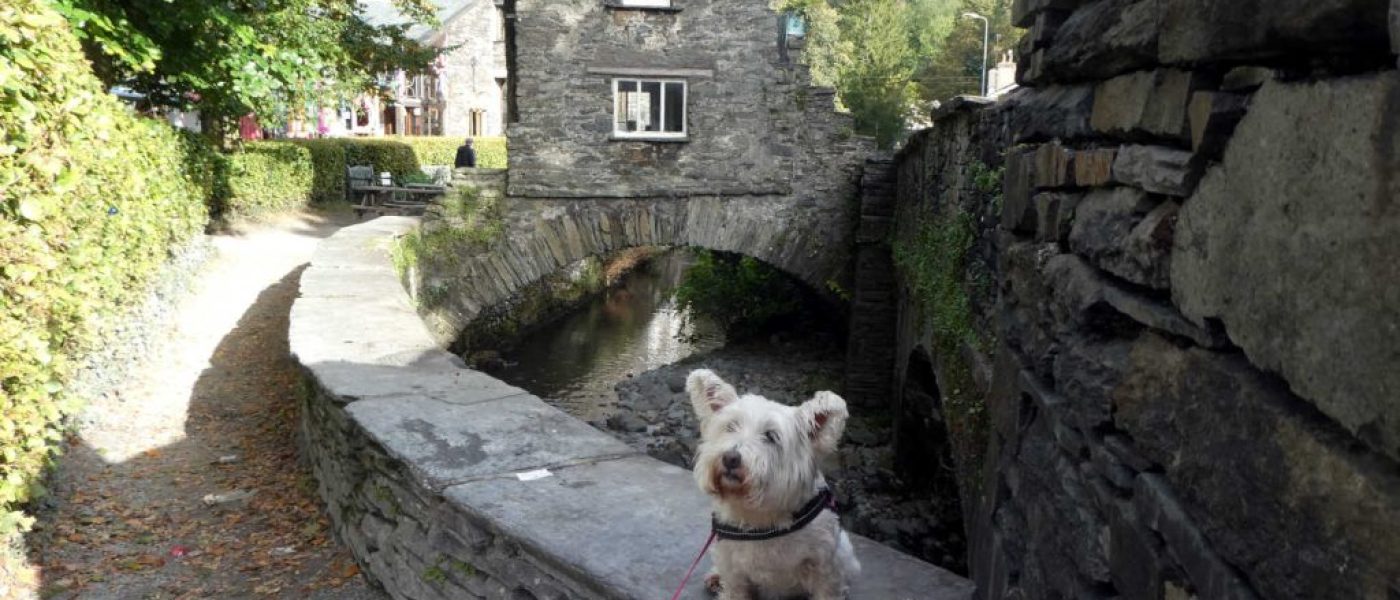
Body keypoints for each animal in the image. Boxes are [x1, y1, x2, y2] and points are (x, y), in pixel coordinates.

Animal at [686, 366, 856, 595]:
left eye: (770, 436)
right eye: (731, 426)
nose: (730, 458)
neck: (760, 516)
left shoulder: (825, 567)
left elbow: (827, 590)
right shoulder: (733, 567)